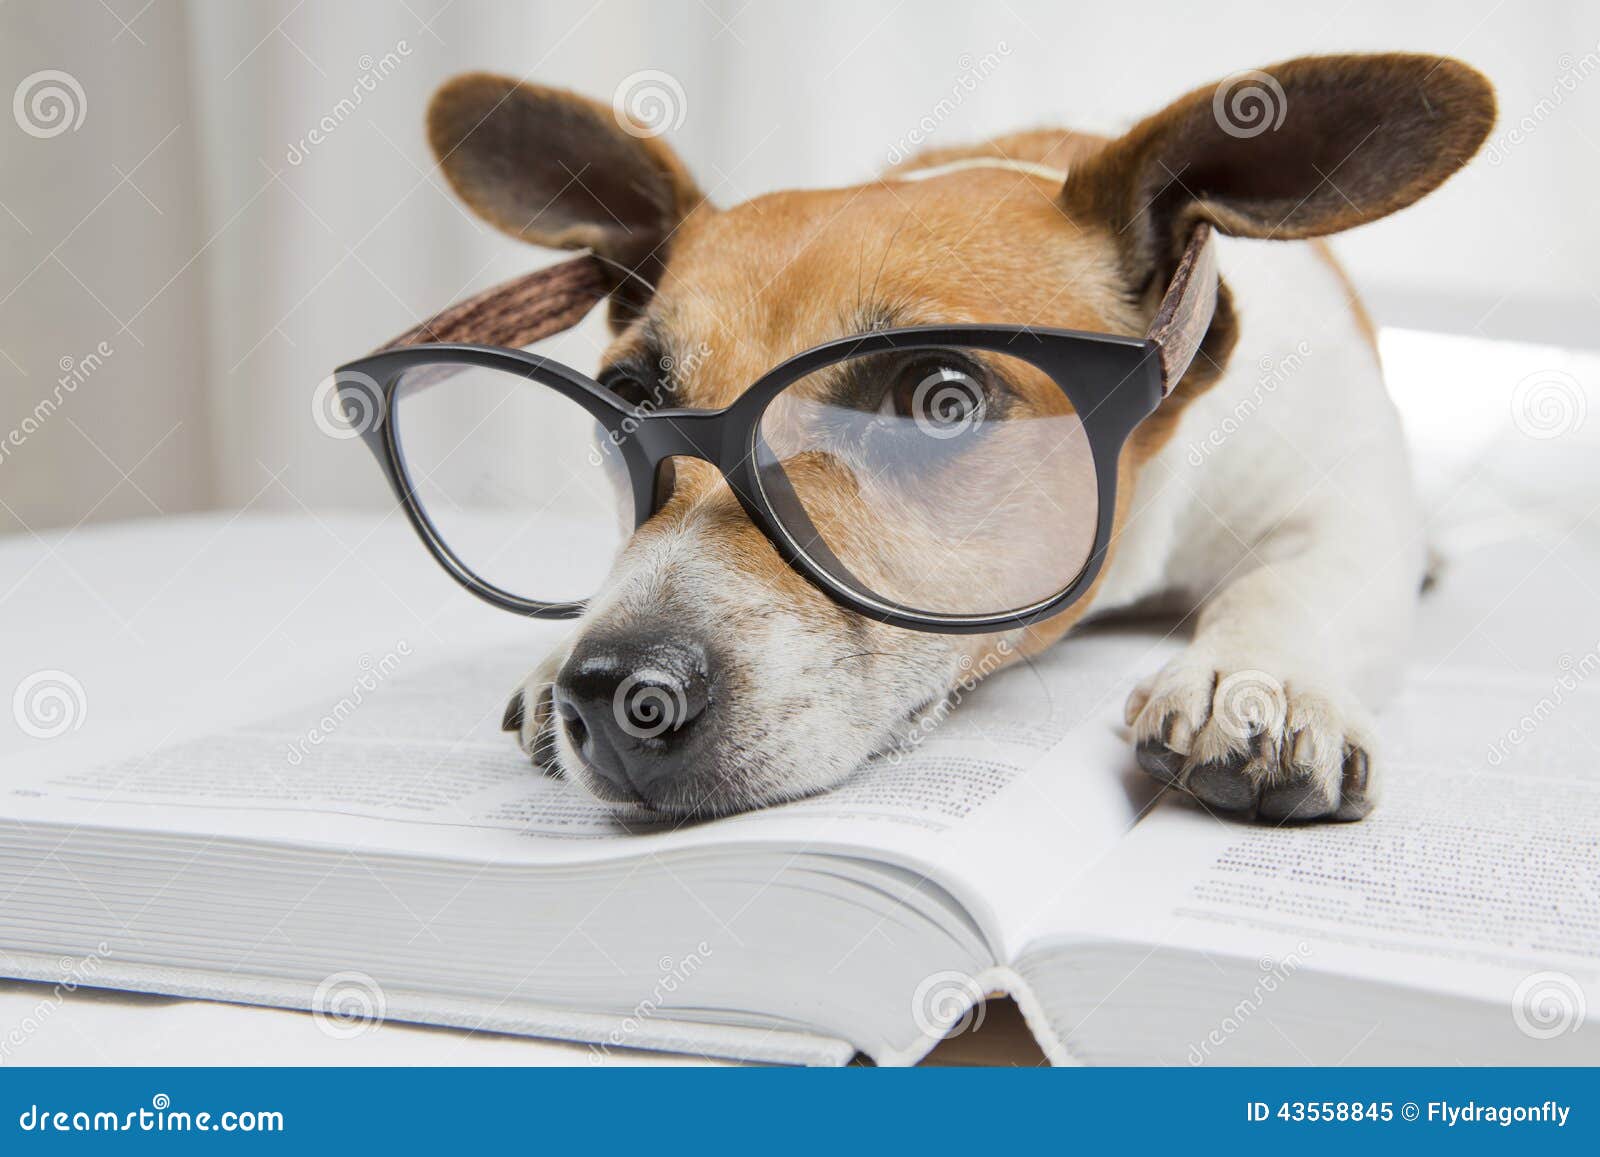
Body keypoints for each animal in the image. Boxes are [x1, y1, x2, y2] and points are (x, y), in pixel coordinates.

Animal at [428, 52, 1497, 825]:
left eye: (939, 401)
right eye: (626, 400)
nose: (613, 694)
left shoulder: (1343, 505)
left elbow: (1292, 584)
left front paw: (1259, 680)